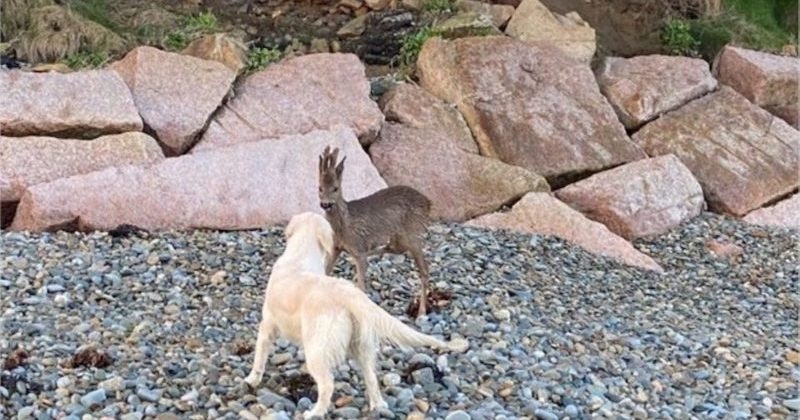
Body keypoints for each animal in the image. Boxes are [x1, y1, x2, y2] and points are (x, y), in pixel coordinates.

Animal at [244, 213, 468, 420]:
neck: (301, 254)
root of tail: (349, 293)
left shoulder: (267, 325)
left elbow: (259, 357)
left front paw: (251, 379)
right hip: (362, 344)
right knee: (371, 378)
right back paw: (377, 406)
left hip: (318, 347)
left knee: (327, 384)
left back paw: (314, 412)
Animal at [318, 146, 434, 316]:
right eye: (319, 188)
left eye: (335, 188)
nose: (325, 204)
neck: (345, 225)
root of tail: (428, 203)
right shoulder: (336, 247)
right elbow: (325, 272)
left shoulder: (358, 248)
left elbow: (361, 286)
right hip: (399, 239)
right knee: (392, 249)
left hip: (412, 233)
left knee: (424, 269)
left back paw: (422, 312)